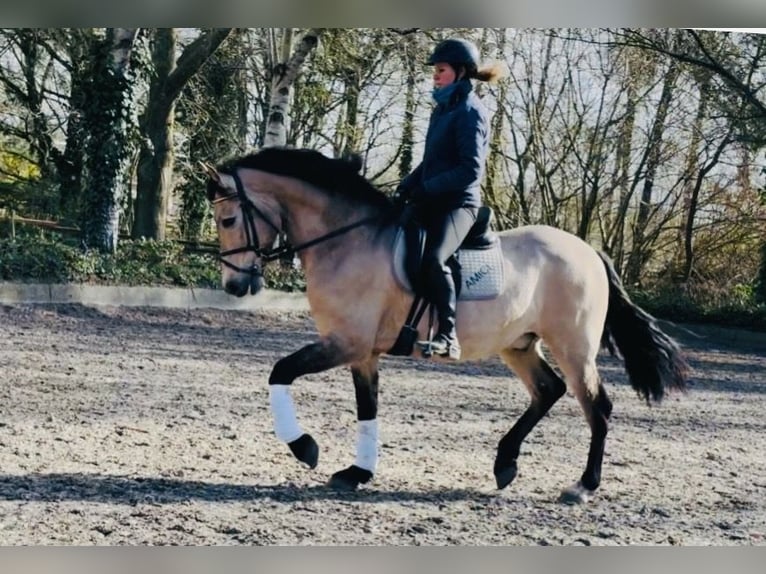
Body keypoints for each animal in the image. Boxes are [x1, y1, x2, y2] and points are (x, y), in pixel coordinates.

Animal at [201, 147, 688, 503]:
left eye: (228, 219)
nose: (235, 285)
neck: (348, 240)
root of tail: (588, 250)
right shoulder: (363, 353)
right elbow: (367, 408)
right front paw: (357, 472)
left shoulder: (346, 342)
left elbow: (281, 370)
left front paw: (305, 448)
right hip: (519, 344)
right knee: (548, 390)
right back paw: (505, 464)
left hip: (573, 346)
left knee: (597, 406)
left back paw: (582, 486)